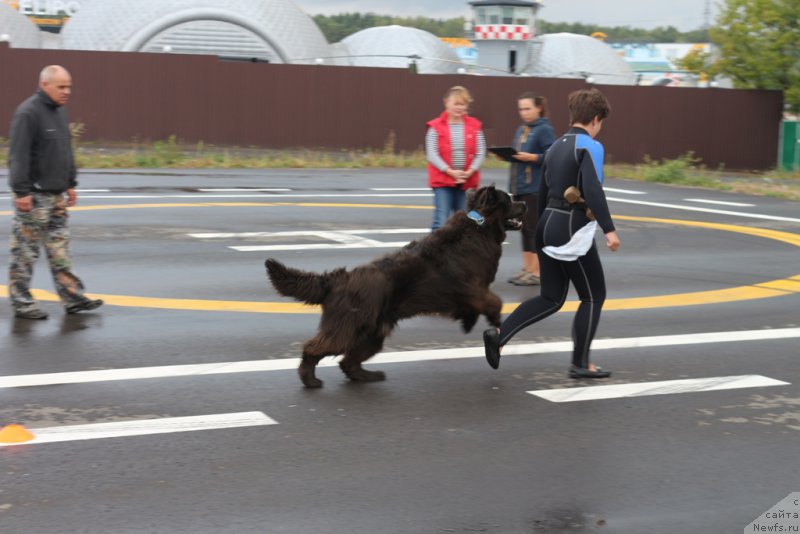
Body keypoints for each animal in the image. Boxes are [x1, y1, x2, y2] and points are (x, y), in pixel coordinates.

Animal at [264, 187, 524, 390]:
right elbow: (495, 302)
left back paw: (367, 376)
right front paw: (495, 321)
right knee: (315, 347)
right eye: (508, 200)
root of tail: (338, 279)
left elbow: (475, 307)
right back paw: (310, 380)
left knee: (348, 361)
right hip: (348, 325)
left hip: (373, 331)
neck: (480, 226)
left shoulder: (471, 294)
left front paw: (468, 322)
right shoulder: (474, 288)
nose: (525, 203)